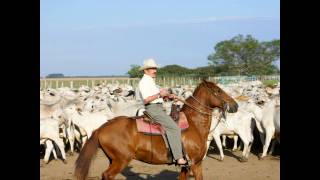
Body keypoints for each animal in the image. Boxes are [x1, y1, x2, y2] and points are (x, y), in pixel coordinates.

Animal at [73, 80, 238, 180]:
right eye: (217, 90)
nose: (235, 105)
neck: (193, 124)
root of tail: (101, 128)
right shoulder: (195, 163)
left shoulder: (187, 166)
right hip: (121, 160)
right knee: (107, 175)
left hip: (113, 159)